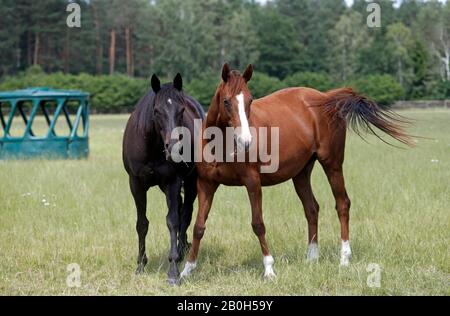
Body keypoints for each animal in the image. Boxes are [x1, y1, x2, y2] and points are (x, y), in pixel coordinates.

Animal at [122, 73, 205, 284]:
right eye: (157, 111)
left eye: (181, 110)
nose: (175, 147)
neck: (152, 145)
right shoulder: (136, 184)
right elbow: (142, 223)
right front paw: (140, 265)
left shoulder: (173, 182)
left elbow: (173, 221)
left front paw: (173, 270)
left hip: (190, 183)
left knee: (186, 212)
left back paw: (182, 250)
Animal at [180, 63, 412, 278]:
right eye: (226, 101)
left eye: (250, 100)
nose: (246, 141)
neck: (220, 143)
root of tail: (327, 98)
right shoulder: (206, 184)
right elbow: (198, 227)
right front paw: (186, 270)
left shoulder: (252, 182)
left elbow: (258, 224)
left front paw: (269, 269)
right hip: (301, 173)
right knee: (312, 208)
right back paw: (312, 258)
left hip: (332, 165)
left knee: (342, 204)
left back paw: (344, 258)